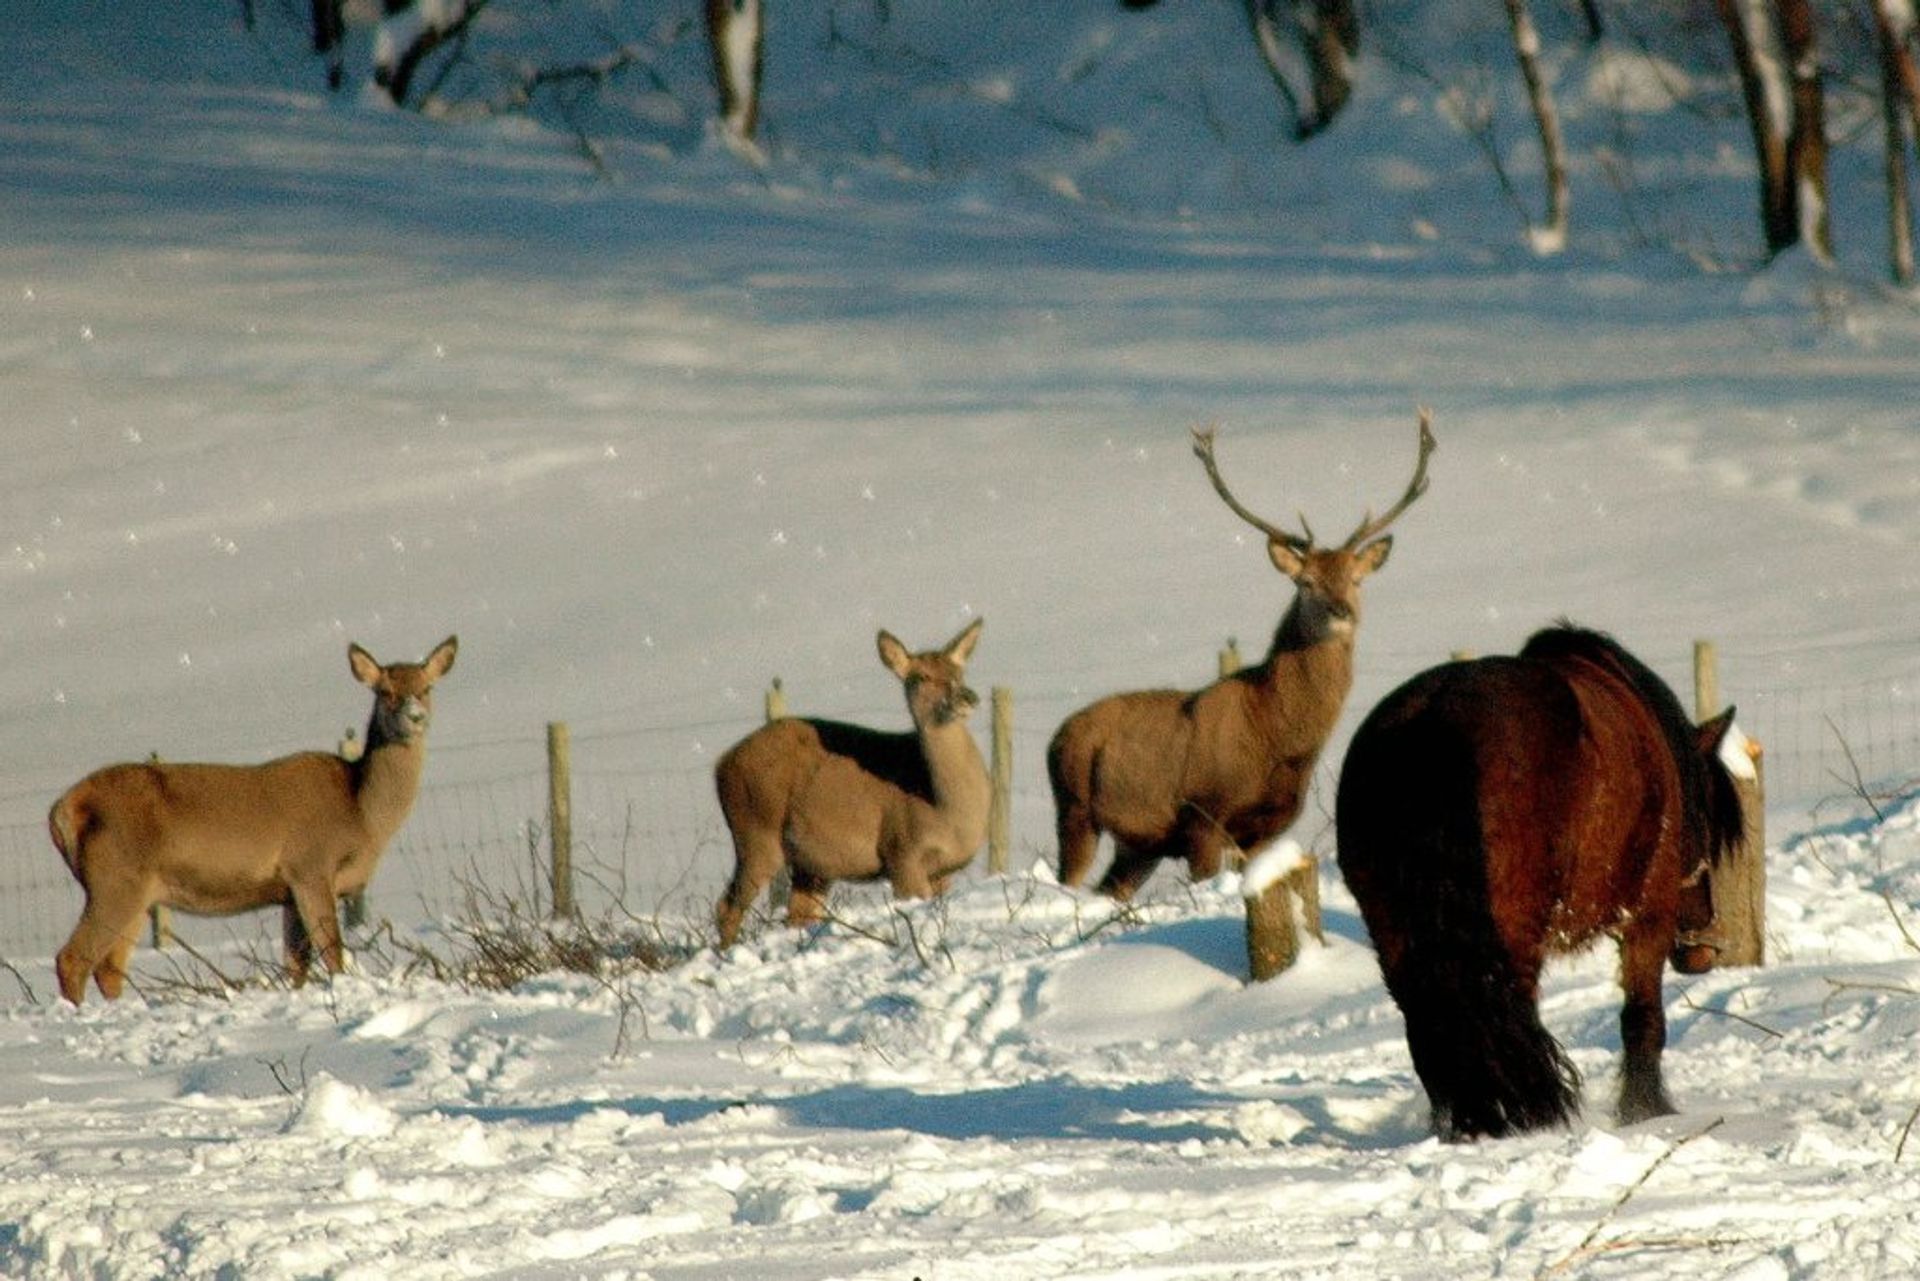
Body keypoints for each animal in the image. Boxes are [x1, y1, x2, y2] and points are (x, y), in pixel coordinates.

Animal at [49, 637, 456, 1006]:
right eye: (385, 691)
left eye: (426, 688)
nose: (415, 717)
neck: (360, 814)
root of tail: (63, 809)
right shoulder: (310, 866)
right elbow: (333, 954)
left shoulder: (288, 891)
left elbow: (296, 966)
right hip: (115, 879)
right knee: (72, 959)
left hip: (137, 890)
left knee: (109, 967)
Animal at [718, 622, 998, 952]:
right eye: (921, 677)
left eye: (959, 673)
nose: (968, 696)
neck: (943, 808)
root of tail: (721, 764)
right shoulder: (902, 853)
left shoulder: (944, 869)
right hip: (755, 829)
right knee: (728, 905)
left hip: (810, 861)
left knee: (797, 916)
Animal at [1044, 410, 1436, 902]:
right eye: (1305, 582)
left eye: (1356, 579)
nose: (1341, 611)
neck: (1275, 734)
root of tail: (1055, 736)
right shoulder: (1203, 813)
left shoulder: (1267, 827)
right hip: (1074, 805)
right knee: (1070, 876)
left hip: (1139, 843)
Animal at [1336, 626, 1743, 1136]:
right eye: (1706, 817)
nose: (1703, 947)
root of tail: (1430, 724)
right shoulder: (1646, 917)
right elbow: (1643, 1019)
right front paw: (1645, 1112)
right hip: (1515, 929)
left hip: (1392, 931)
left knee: (1427, 1023)